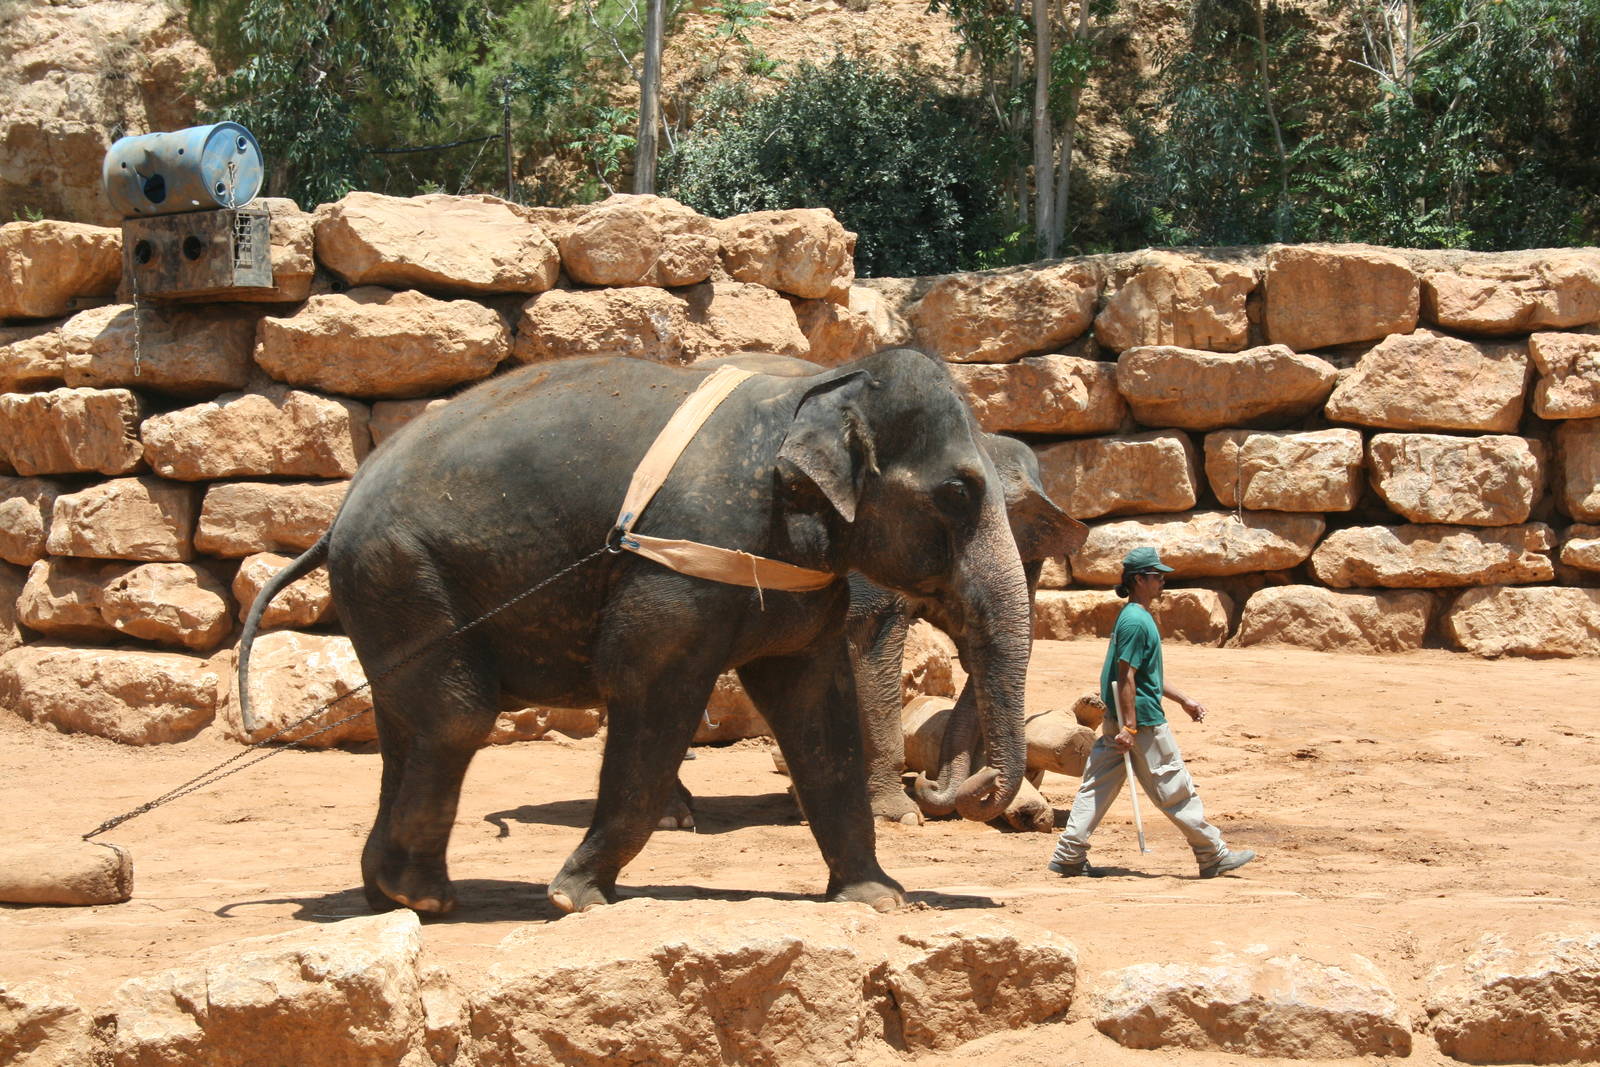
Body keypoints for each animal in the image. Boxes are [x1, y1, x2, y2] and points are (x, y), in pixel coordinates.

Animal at [238, 348, 1039, 916]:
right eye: (958, 493)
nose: (958, 791)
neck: (812, 390)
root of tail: (338, 512)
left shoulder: (798, 579)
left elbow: (818, 712)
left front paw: (880, 898)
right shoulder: (681, 560)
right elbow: (649, 691)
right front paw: (574, 896)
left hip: (385, 589)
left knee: (403, 720)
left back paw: (387, 894)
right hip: (404, 570)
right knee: (454, 717)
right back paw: (424, 897)